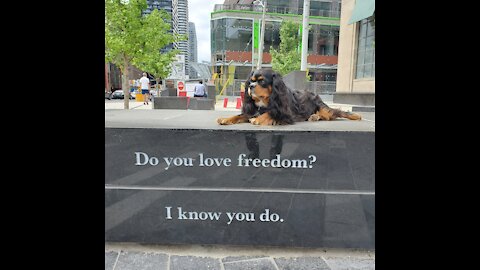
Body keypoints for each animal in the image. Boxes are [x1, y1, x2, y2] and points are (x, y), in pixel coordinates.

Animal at [217, 68, 360, 125]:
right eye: (251, 81)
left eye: (262, 81)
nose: (251, 86)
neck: (265, 101)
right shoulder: (252, 111)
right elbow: (240, 115)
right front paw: (225, 119)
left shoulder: (286, 114)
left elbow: (270, 113)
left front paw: (258, 119)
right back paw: (314, 117)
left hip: (323, 107)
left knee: (334, 113)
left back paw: (356, 116)